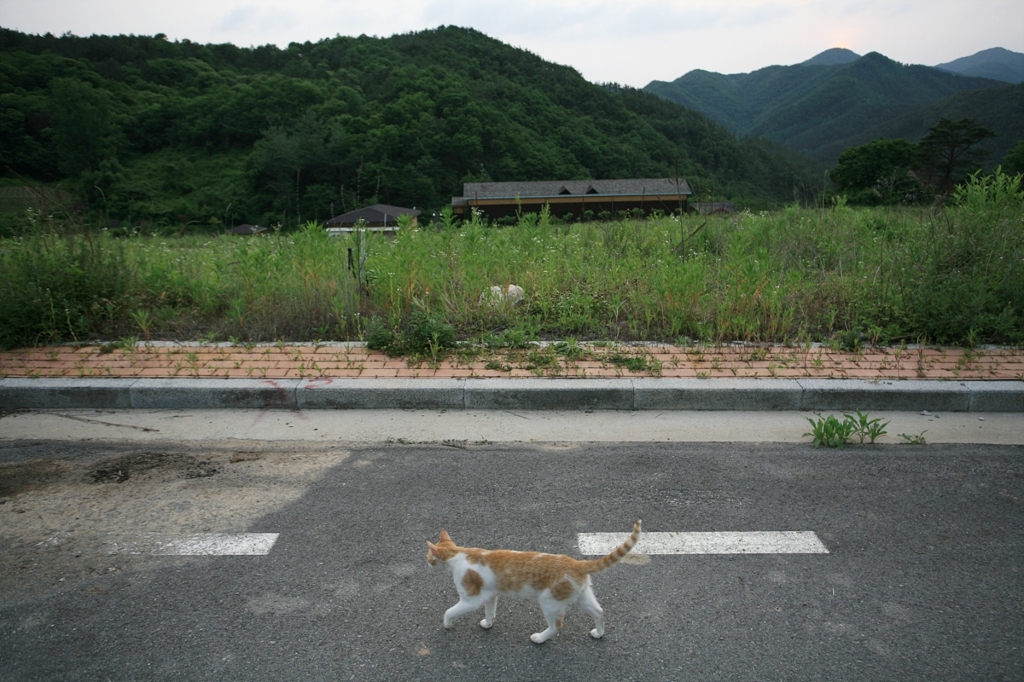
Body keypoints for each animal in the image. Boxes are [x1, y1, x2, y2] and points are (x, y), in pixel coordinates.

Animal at [423, 520, 638, 643]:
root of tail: (576, 563)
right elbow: (490, 610)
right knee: (599, 612)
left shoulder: (470, 599)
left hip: (550, 601)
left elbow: (449, 611)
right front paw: (488, 623)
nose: (427, 563)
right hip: (582, 596)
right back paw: (599, 633)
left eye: (429, 557)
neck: (457, 553)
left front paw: (447, 625)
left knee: (557, 626)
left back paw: (539, 638)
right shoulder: (490, 595)